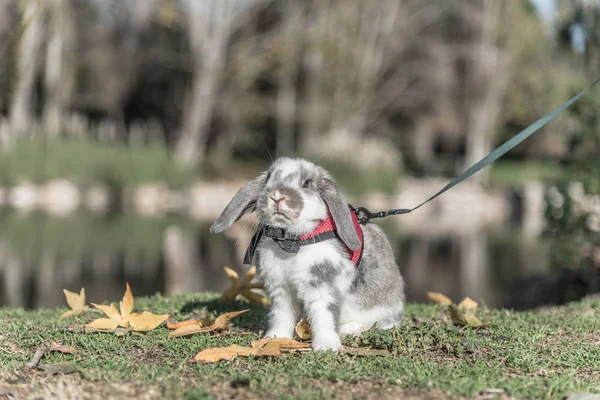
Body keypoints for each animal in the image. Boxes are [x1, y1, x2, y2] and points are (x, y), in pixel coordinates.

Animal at [210, 158, 404, 352]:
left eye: (306, 183)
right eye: (268, 179)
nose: (277, 196)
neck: (292, 240)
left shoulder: (322, 285)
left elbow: (323, 315)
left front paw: (326, 346)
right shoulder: (282, 289)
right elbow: (282, 315)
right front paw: (276, 337)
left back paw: (349, 331)